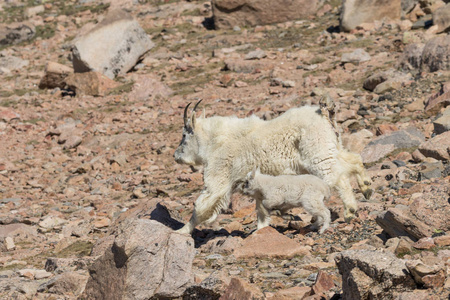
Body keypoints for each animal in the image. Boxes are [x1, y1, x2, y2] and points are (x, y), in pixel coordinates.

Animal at [174, 101, 370, 234]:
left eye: (184, 135)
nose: (176, 156)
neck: (214, 141)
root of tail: (325, 113)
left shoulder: (219, 173)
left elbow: (202, 206)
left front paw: (182, 231)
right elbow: (261, 210)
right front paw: (261, 229)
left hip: (318, 154)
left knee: (337, 178)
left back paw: (350, 211)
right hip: (332, 146)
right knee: (353, 160)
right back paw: (367, 188)